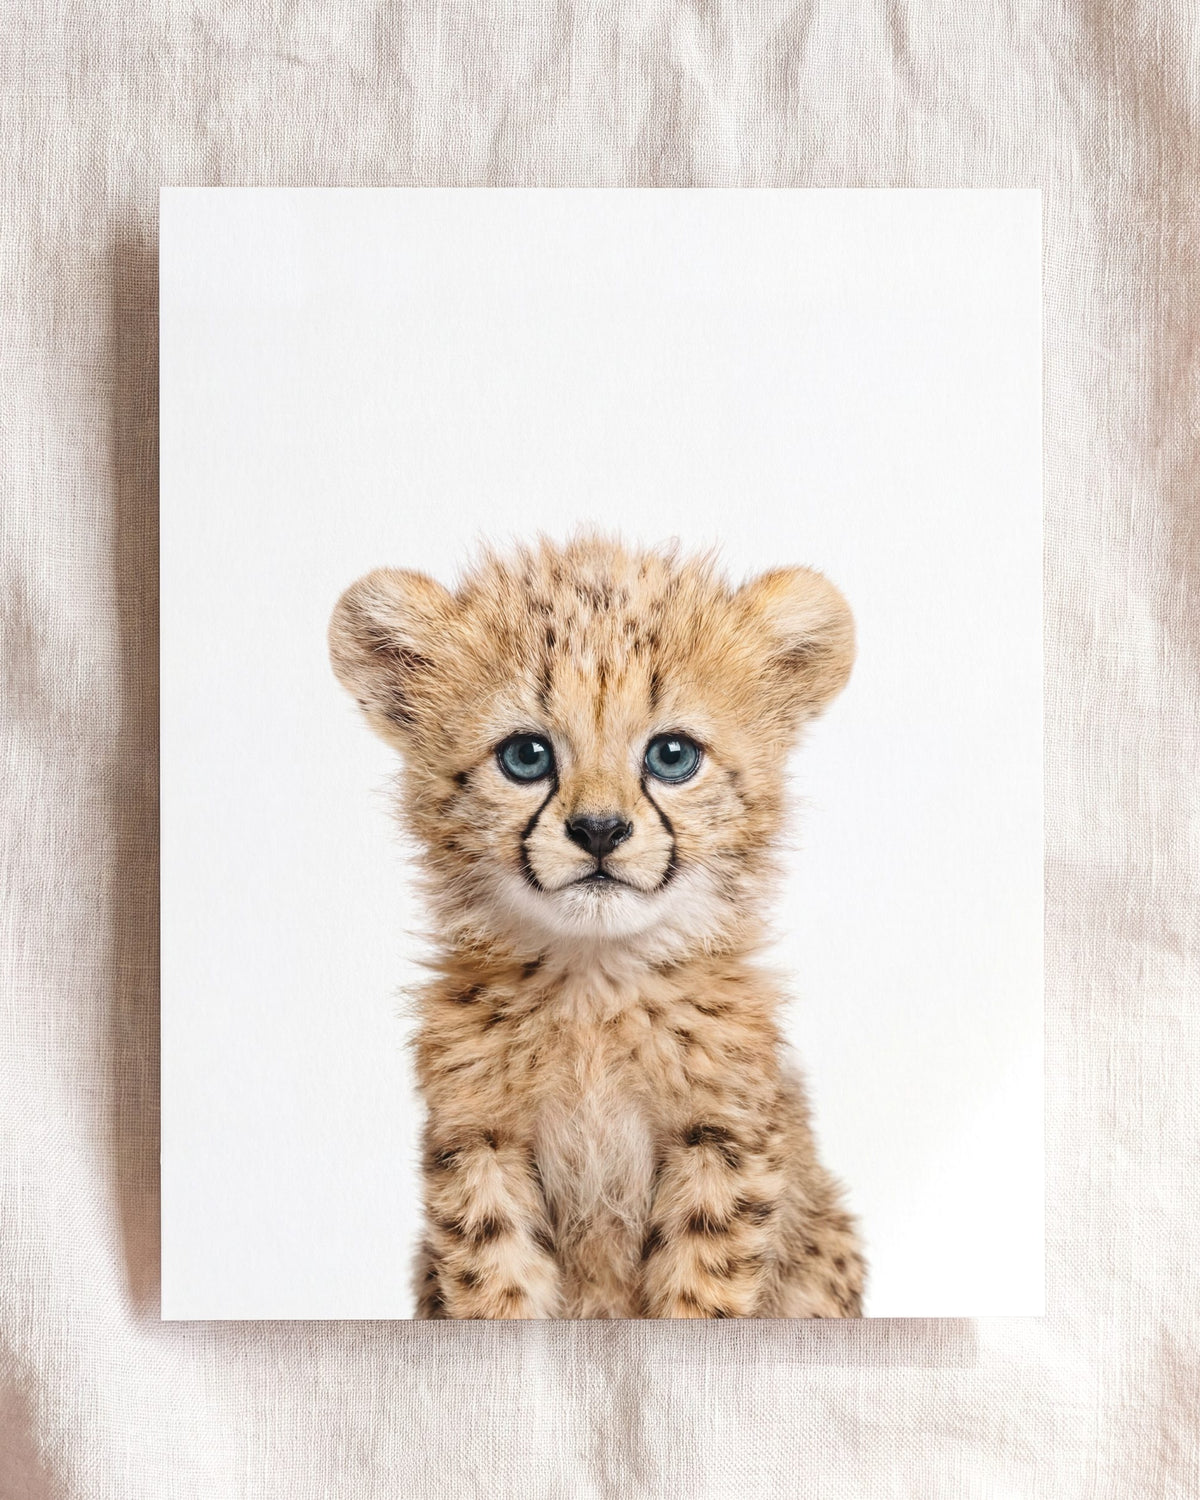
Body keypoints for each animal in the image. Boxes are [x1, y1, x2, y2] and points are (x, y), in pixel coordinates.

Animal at [329, 533, 865, 1318]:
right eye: (526, 755)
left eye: (672, 755)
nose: (600, 830)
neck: (594, 982)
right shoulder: (480, 1141)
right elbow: (496, 1287)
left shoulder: (722, 1140)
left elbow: (701, 1296)